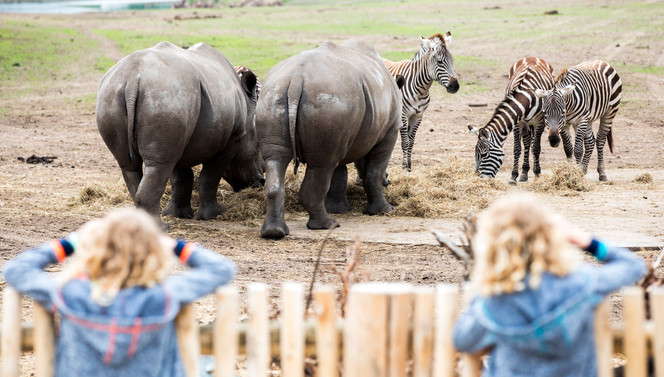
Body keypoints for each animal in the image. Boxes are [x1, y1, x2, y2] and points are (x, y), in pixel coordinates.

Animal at [382, 32, 460, 170]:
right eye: (439, 61)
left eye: (452, 61)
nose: (455, 86)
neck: (420, 89)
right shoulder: (403, 115)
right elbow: (405, 141)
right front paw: (404, 166)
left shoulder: (418, 116)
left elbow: (411, 141)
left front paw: (409, 166)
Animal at [470, 56, 556, 184]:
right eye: (476, 154)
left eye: (484, 154)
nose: (479, 178)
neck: (527, 97)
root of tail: (531, 57)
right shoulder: (517, 122)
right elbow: (517, 148)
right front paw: (513, 176)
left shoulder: (540, 121)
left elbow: (536, 148)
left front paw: (537, 173)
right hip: (525, 123)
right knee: (526, 142)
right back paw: (524, 172)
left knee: (533, 144)